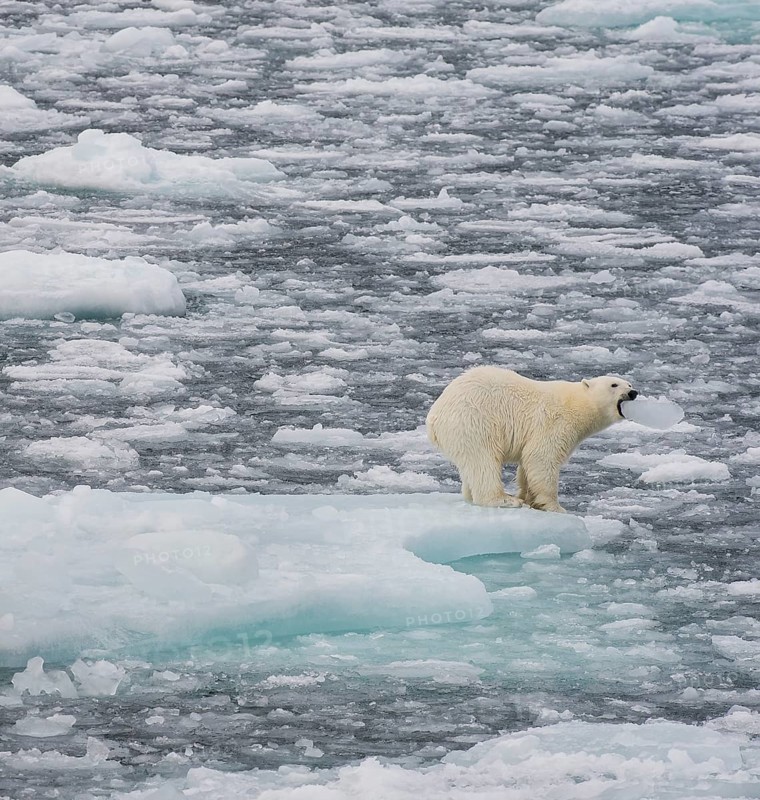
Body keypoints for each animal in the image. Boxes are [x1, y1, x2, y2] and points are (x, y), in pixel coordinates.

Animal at [426, 366, 637, 513]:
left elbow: (526, 465)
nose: (633, 393)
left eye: (629, 384)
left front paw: (529, 498)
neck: (577, 404)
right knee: (483, 461)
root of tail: (434, 417)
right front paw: (554, 506)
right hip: (474, 422)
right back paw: (506, 499)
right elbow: (541, 458)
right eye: (614, 384)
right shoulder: (555, 422)